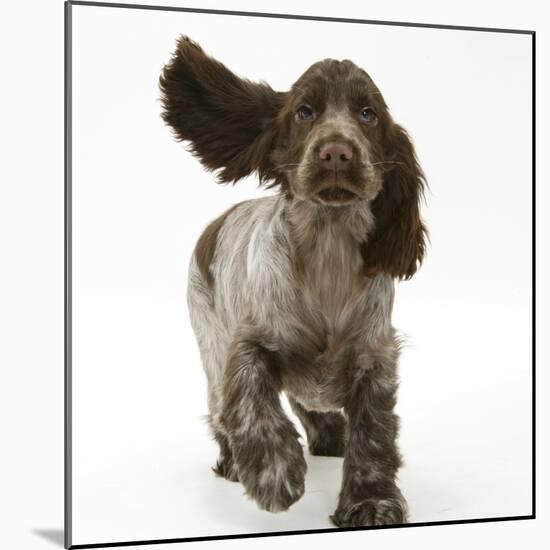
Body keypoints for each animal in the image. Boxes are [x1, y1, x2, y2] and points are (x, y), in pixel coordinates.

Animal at [158, 36, 426, 528]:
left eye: (368, 113)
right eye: (305, 111)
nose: (337, 152)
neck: (328, 249)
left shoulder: (374, 355)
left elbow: (374, 431)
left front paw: (370, 500)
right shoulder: (249, 342)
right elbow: (251, 404)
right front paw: (274, 474)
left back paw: (329, 433)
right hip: (209, 342)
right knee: (221, 408)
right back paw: (233, 461)